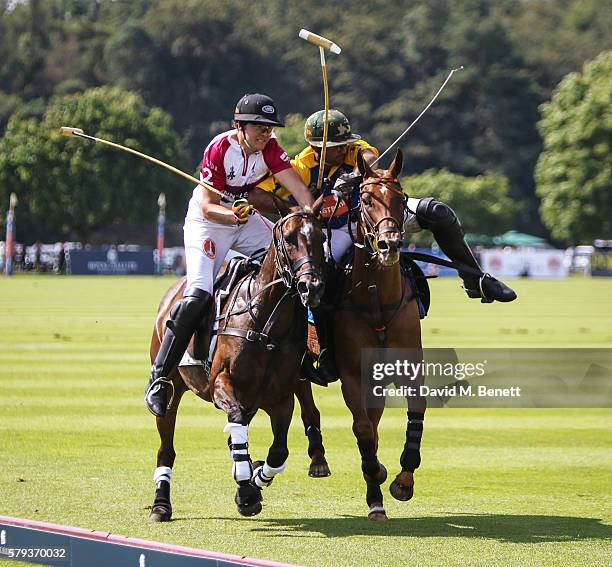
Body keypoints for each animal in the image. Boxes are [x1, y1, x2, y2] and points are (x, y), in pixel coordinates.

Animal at [149, 209, 328, 520]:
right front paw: (246, 491)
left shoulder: (280, 398)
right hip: (172, 388)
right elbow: (236, 424)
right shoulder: (221, 384)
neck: (266, 323)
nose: (312, 287)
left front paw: (254, 480)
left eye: (321, 237)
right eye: (289, 238)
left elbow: (278, 452)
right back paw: (161, 503)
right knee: (166, 447)